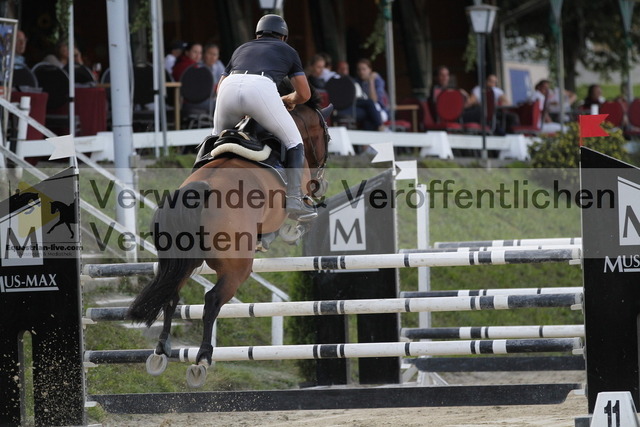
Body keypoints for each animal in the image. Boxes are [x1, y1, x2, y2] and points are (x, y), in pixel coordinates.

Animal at [128, 87, 332, 387]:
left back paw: (161, 353)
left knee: (171, 296)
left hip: (182, 262)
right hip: (236, 268)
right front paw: (291, 231)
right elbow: (298, 217)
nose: (321, 180)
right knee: (212, 300)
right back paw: (202, 360)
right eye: (326, 138)